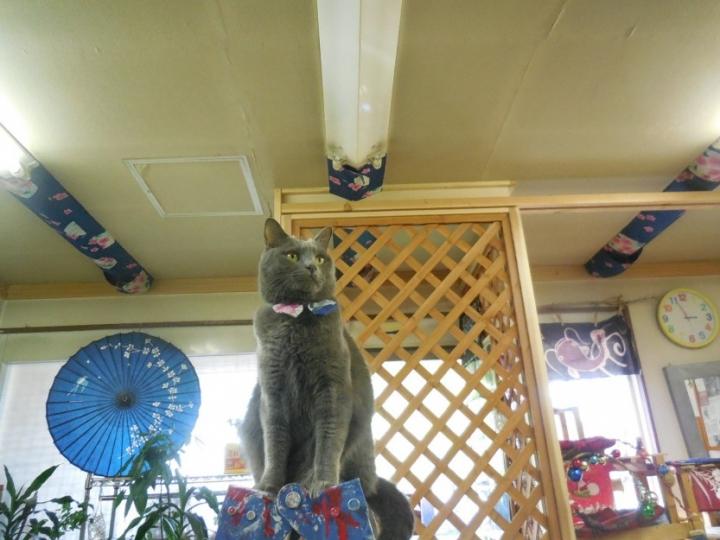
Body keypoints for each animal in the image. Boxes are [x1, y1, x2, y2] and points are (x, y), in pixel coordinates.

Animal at [240, 218, 415, 540]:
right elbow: (275, 442)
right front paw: (269, 488)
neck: (297, 318)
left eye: (321, 258)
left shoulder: (332, 389)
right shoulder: (273, 392)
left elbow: (328, 440)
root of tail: (372, 483)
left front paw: (319, 484)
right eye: (292, 255)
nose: (312, 266)